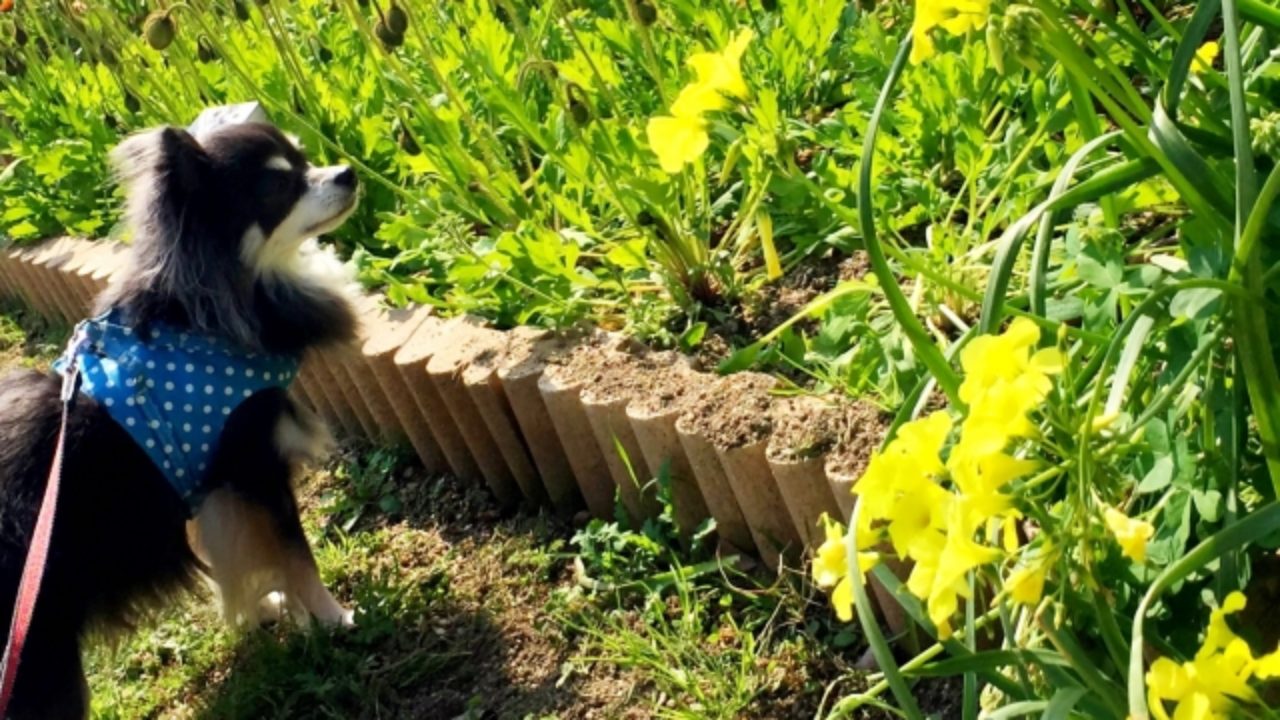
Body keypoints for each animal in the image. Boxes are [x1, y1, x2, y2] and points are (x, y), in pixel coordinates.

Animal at [1, 124, 360, 717]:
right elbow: (295, 554)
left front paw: (266, 611)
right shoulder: (255, 468)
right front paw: (333, 619)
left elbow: (231, 559)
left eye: (304, 158)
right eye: (276, 187)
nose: (348, 173)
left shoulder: (213, 486)